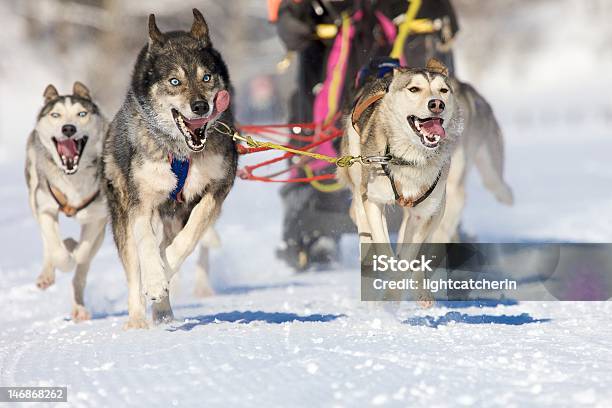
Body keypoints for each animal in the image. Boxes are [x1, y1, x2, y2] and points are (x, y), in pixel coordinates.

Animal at [25, 81, 107, 320]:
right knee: (48, 244)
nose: (68, 128)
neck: (73, 179)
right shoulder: (45, 208)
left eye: (82, 114)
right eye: (56, 115)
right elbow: (56, 249)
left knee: (82, 268)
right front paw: (64, 257)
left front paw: (73, 249)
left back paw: (79, 308)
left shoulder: (97, 217)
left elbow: (83, 253)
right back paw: (47, 274)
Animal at [103, 9, 237, 328]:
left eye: (206, 77)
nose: (200, 106)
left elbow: (187, 239)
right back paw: (138, 319)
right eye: (175, 81)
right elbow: (147, 245)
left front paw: (165, 269)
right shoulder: (141, 201)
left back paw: (163, 309)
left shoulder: (217, 189)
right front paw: (154, 279)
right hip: (122, 214)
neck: (182, 153)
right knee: (133, 268)